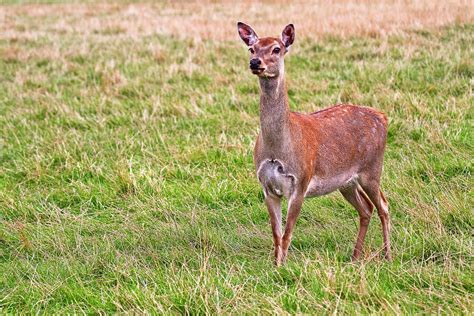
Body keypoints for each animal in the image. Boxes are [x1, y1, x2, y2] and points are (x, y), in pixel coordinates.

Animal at [239, 21, 390, 266]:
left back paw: (388, 254)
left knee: (384, 205)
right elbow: (276, 234)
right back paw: (355, 257)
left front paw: (283, 268)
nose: (255, 63)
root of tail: (383, 117)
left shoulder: (300, 181)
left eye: (276, 49)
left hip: (372, 169)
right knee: (366, 208)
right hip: (346, 182)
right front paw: (275, 265)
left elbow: (287, 233)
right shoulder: (267, 187)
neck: (278, 149)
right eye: (252, 49)